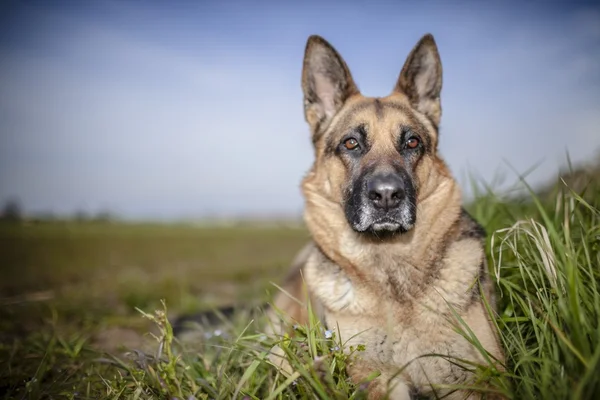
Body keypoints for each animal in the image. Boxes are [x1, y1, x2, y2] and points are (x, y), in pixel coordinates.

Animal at [264, 35, 504, 400]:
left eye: (412, 142)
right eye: (351, 143)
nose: (388, 195)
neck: (391, 269)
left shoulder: (479, 376)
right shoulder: (376, 376)